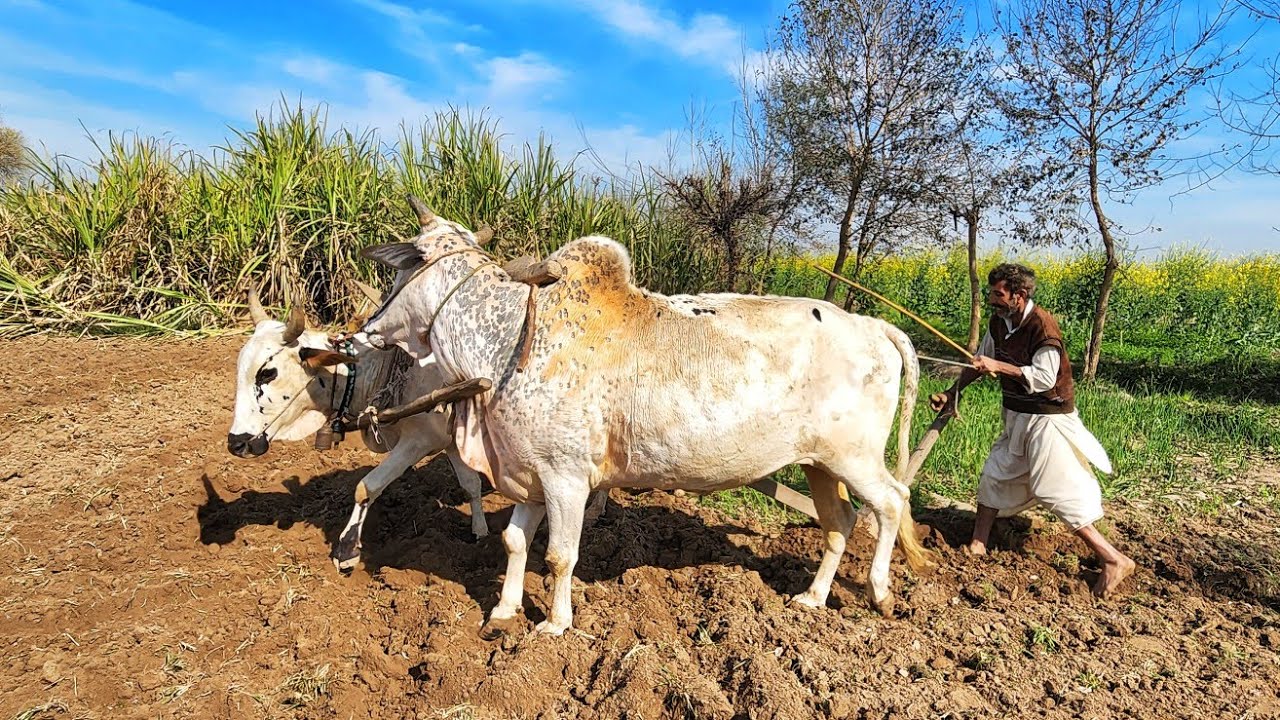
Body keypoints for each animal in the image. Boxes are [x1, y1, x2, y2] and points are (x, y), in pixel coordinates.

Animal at [360, 197, 935, 635]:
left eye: (398, 269)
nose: (366, 327)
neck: (507, 342)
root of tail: (873, 325)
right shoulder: (530, 473)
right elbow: (514, 541)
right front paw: (503, 611)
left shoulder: (566, 478)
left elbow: (560, 556)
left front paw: (555, 624)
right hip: (819, 464)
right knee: (840, 523)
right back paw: (813, 597)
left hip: (855, 457)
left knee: (892, 502)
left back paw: (879, 591)